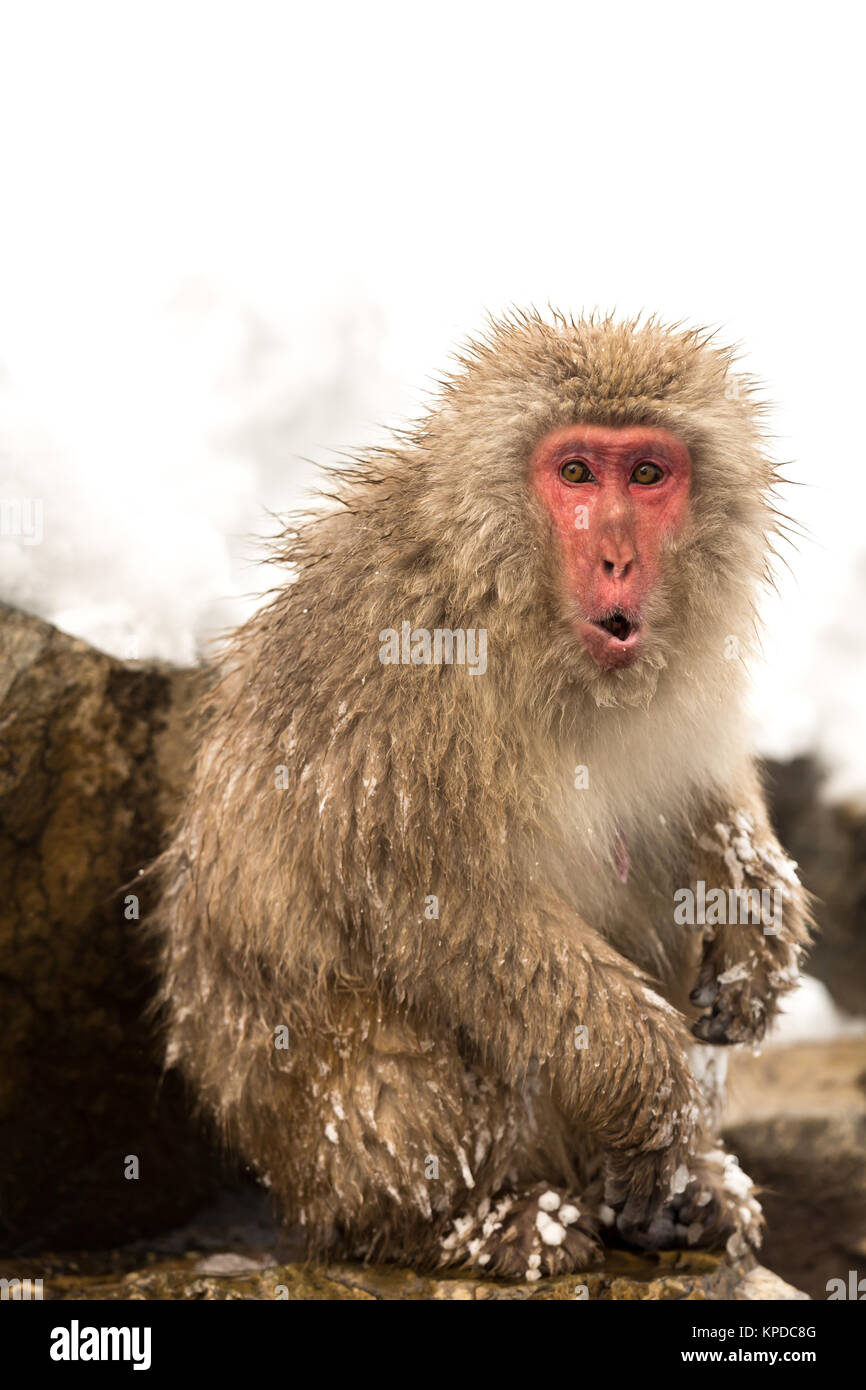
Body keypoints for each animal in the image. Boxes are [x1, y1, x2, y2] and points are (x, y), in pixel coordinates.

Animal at [148, 311, 811, 1280]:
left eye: (647, 474)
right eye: (576, 473)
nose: (617, 556)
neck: (522, 617)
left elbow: (695, 792)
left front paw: (756, 920)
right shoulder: (403, 680)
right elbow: (444, 907)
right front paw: (654, 1089)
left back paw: (679, 1201)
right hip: (323, 1133)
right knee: (393, 1073)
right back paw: (478, 1222)